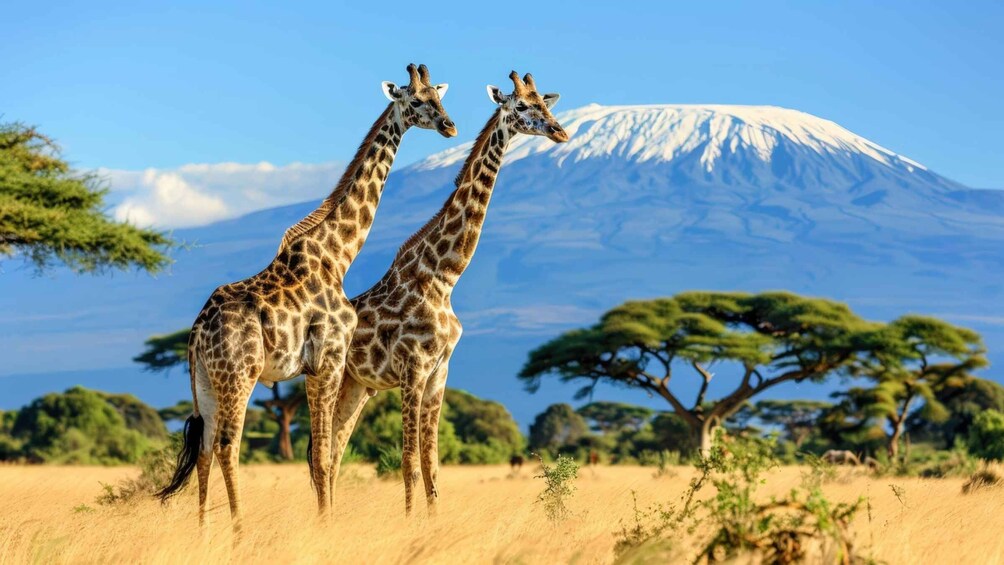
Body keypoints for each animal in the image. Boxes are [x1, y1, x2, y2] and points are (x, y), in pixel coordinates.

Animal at [155, 64, 457, 530]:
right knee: (226, 446)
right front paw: (326, 525)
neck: (338, 255)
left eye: (439, 97)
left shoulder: (316, 367)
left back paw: (204, 531)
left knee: (203, 448)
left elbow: (321, 455)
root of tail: (196, 333)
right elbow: (323, 456)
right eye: (416, 100)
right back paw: (239, 529)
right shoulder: (328, 360)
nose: (449, 125)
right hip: (240, 375)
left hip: (204, 379)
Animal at [320, 71, 568, 515]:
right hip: (333, 378)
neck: (443, 278)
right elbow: (409, 464)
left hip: (359, 386)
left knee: (333, 455)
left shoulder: (440, 372)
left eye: (547, 103)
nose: (560, 132)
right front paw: (410, 525)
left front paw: (431, 523)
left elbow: (432, 465)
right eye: (522, 106)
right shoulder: (412, 369)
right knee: (324, 455)